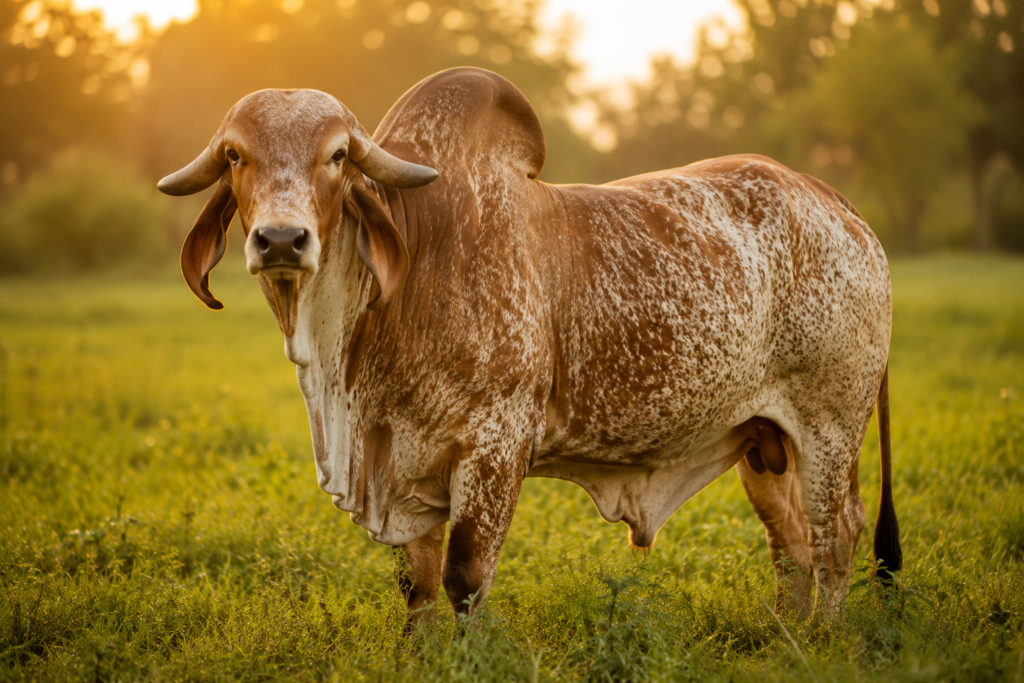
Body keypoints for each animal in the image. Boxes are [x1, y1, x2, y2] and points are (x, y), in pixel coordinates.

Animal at [157, 67, 901, 628]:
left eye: (337, 155)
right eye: (235, 155)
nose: (282, 240)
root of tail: (838, 203)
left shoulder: (496, 444)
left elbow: (464, 578)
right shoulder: (404, 464)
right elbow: (417, 586)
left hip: (831, 426)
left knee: (837, 536)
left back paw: (825, 637)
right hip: (761, 441)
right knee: (791, 543)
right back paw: (790, 637)